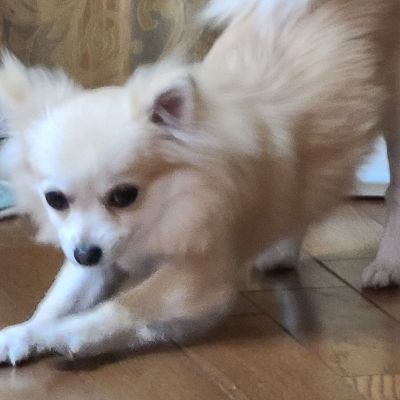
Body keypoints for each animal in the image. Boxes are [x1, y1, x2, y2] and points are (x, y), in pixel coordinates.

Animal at [0, 0, 399, 365]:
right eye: (55, 200)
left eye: (124, 196)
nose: (85, 253)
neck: (168, 205)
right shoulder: (102, 257)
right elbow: (59, 298)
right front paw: (25, 332)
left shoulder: (200, 278)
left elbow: (122, 307)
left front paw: (61, 335)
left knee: (393, 195)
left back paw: (387, 265)